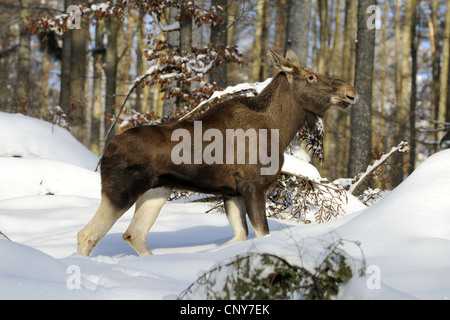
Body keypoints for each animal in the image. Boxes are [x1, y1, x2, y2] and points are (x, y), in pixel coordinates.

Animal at [78, 50, 358, 256]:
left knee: (134, 234)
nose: (350, 92)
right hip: (120, 191)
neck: (280, 130)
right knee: (87, 235)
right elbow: (261, 234)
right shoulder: (252, 185)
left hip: (157, 191)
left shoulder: (232, 192)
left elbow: (240, 236)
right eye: (311, 77)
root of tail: (105, 151)